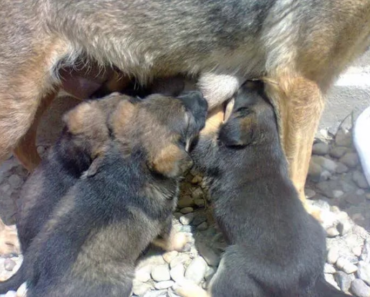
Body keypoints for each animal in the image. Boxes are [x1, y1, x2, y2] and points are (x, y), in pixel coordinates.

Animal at [176, 80, 346, 296]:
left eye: (240, 98)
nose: (255, 80)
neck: (263, 139)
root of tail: (313, 281)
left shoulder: (209, 154)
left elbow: (206, 134)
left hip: (235, 262)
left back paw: (185, 286)